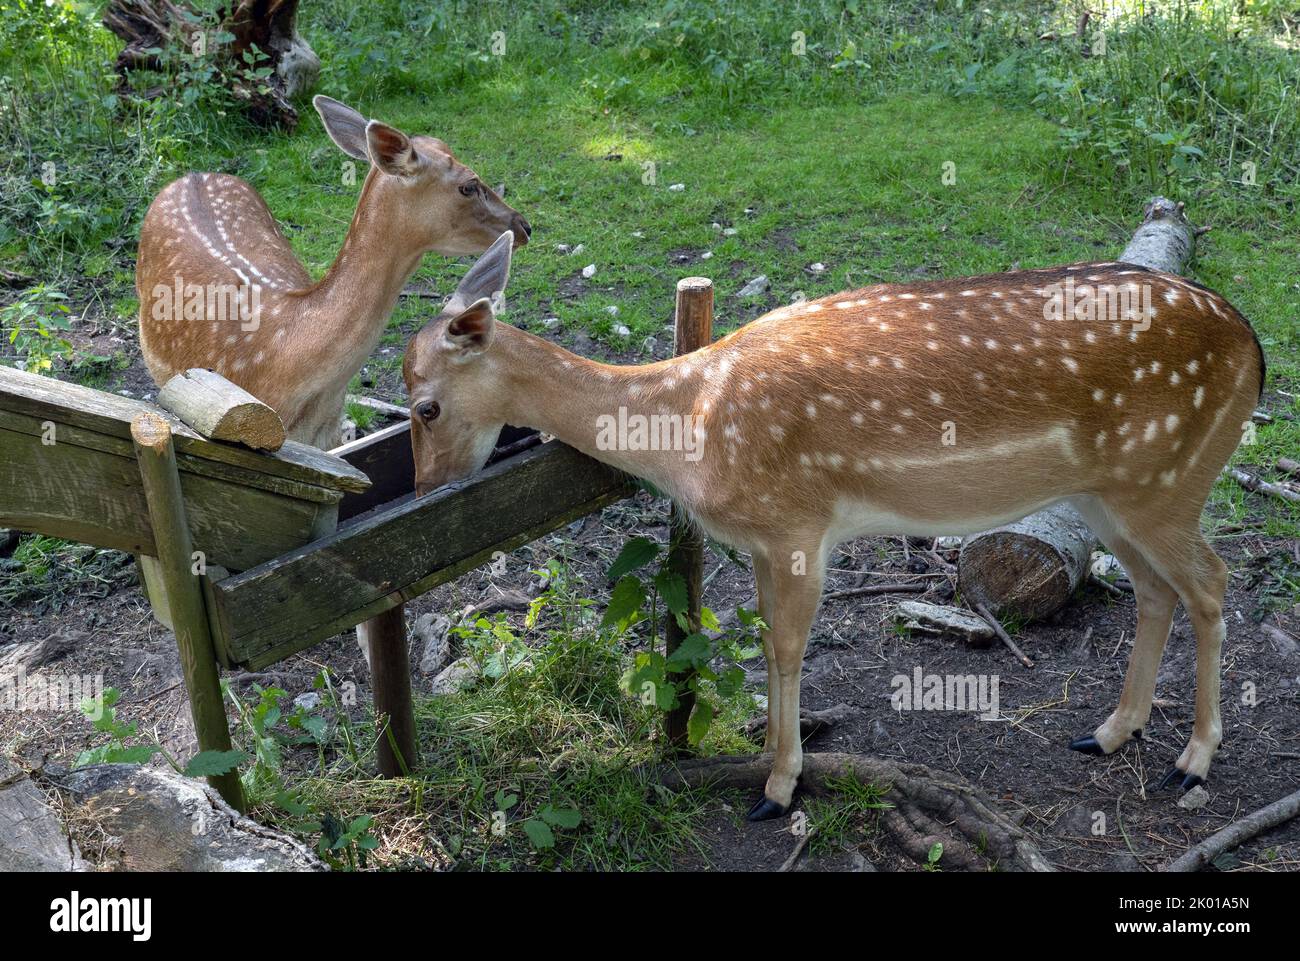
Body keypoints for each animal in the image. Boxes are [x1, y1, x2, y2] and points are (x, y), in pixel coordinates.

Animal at [403, 231, 1265, 820]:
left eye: (425, 405)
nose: (424, 486)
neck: (690, 426)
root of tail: (1255, 351)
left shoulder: (796, 522)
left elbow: (787, 648)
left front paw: (779, 785)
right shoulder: (759, 536)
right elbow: (761, 642)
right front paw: (766, 758)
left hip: (1167, 479)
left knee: (1213, 583)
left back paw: (1193, 759)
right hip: (1110, 495)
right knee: (1156, 589)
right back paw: (1109, 731)